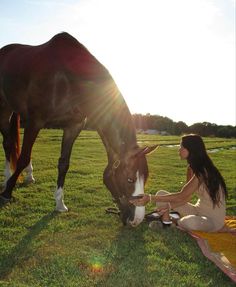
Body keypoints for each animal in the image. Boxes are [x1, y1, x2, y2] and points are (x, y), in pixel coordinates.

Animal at [0, 32, 158, 227]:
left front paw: (60, 203)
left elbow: (63, 164)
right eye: (129, 179)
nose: (136, 220)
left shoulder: (73, 126)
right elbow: (22, 158)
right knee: (8, 144)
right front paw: (7, 193)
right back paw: (7, 180)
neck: (66, 78)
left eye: (146, 177)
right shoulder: (35, 121)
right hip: (3, 108)